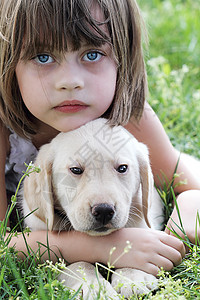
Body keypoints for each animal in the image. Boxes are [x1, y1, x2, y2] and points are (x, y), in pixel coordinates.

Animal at [21, 118, 163, 298]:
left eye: (122, 168)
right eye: (76, 170)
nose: (103, 211)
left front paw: (132, 275)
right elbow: (79, 262)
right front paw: (94, 287)